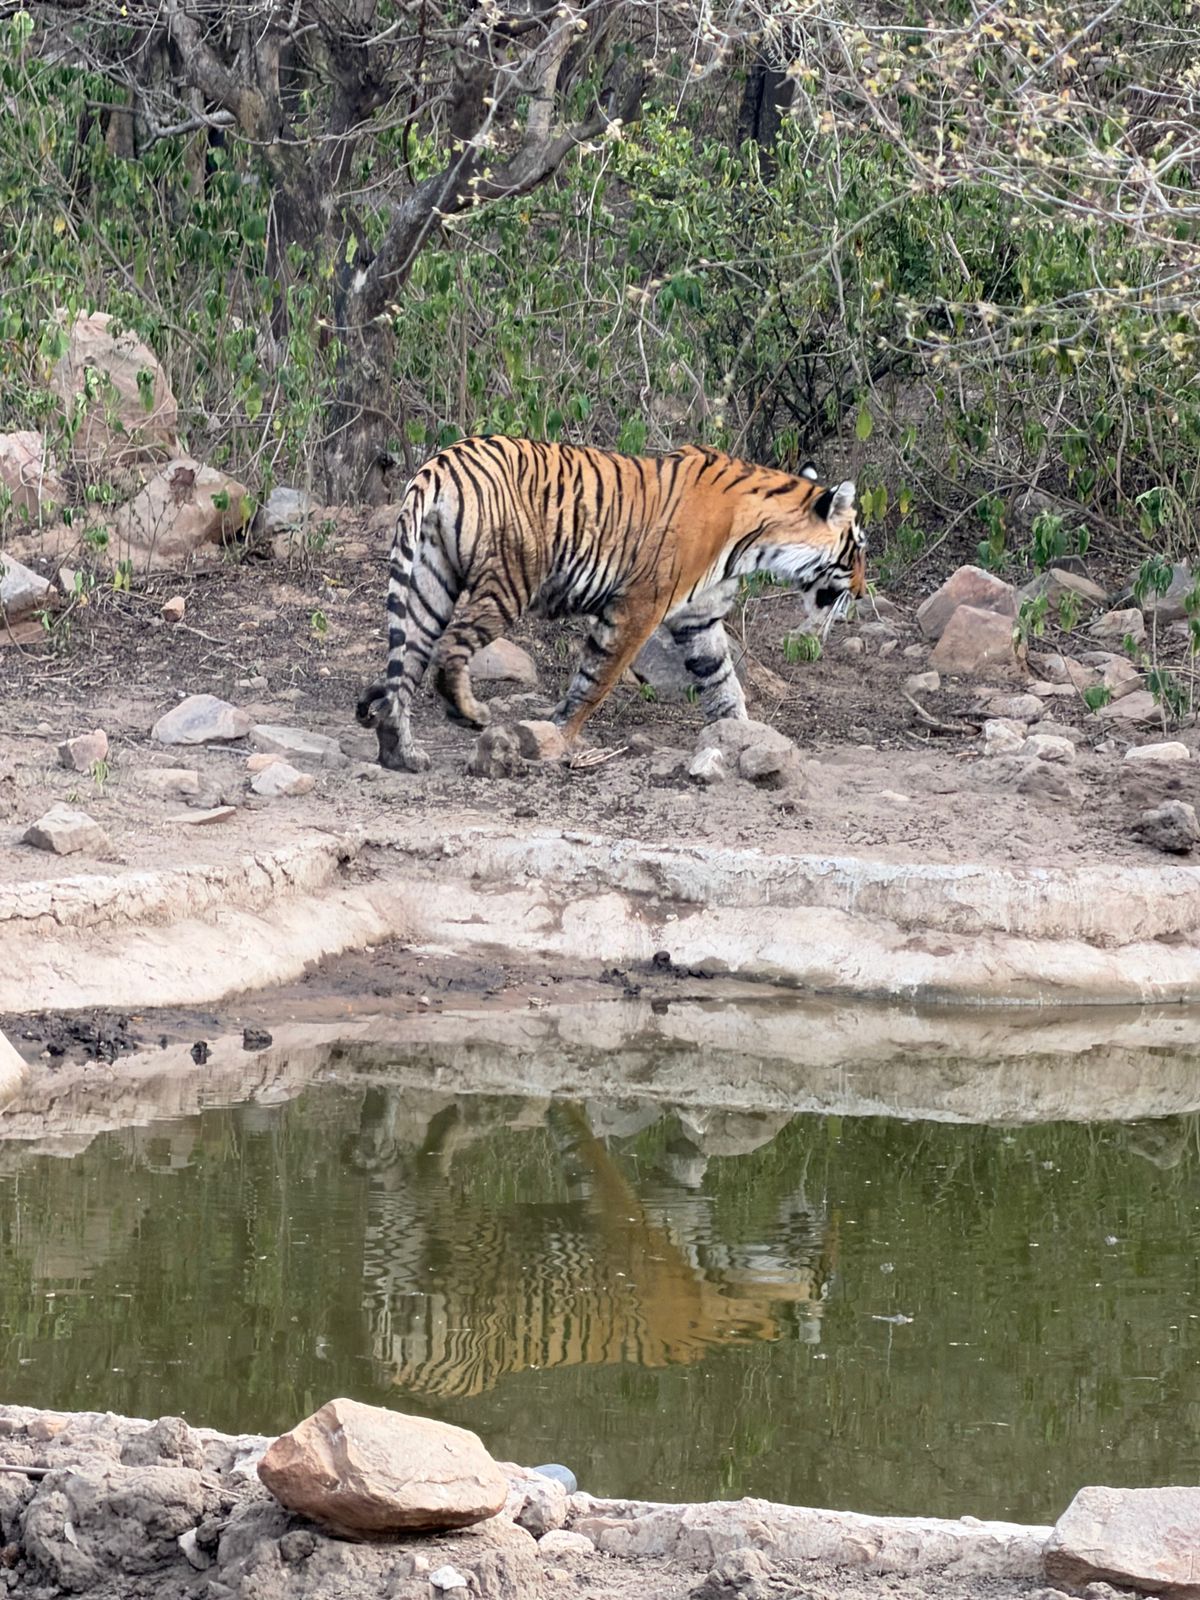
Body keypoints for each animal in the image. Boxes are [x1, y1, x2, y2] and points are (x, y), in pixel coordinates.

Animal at [356, 435, 866, 772]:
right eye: (858, 548)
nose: (862, 593)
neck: (757, 539)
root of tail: (443, 461)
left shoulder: (699, 619)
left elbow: (724, 685)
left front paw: (741, 738)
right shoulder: (639, 607)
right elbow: (596, 680)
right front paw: (559, 737)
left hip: (429, 583)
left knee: (405, 668)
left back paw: (400, 753)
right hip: (510, 582)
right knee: (450, 649)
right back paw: (469, 714)